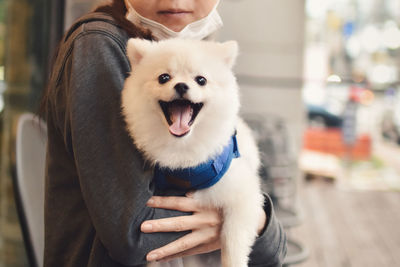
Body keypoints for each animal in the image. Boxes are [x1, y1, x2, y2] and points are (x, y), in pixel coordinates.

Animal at [122, 39, 266, 267]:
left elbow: (232, 240)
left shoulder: (243, 198)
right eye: (164, 78)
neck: (183, 150)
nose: (181, 85)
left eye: (201, 80)